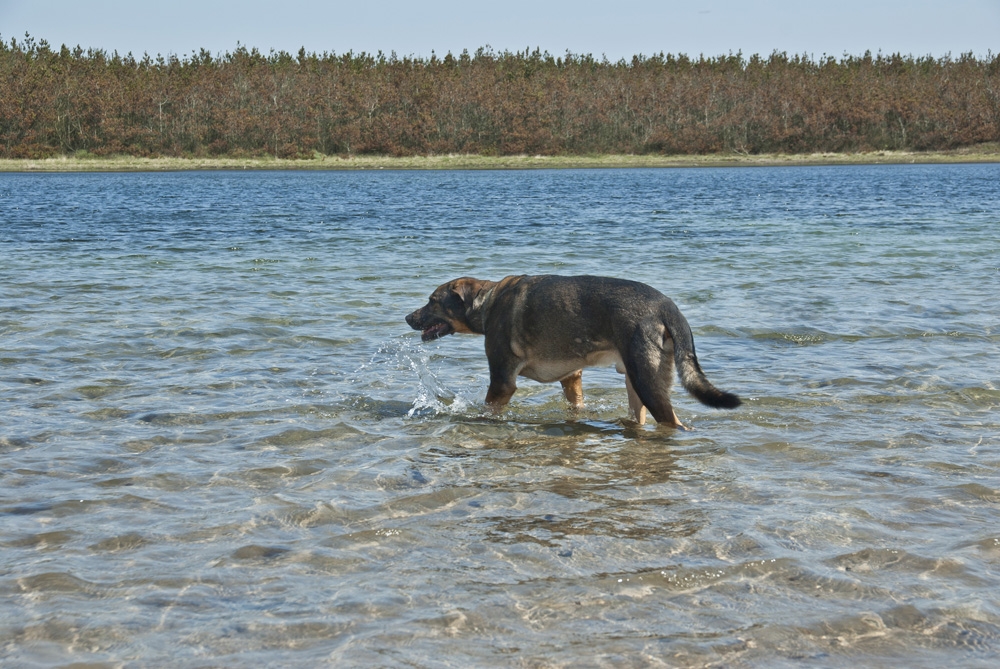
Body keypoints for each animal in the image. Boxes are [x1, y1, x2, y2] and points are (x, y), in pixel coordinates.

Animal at [402, 276, 740, 428]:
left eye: (432, 301)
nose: (407, 317)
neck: (487, 302)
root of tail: (667, 306)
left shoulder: (502, 382)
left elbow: (490, 409)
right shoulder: (572, 377)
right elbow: (576, 404)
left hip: (647, 383)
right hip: (636, 384)